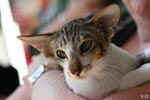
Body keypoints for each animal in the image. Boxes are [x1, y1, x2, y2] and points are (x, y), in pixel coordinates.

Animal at [18, 4, 150, 99]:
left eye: (85, 45)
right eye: (60, 54)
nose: (74, 72)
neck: (105, 64)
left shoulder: (132, 60)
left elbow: (138, 59)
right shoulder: (98, 91)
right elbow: (125, 80)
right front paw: (145, 69)